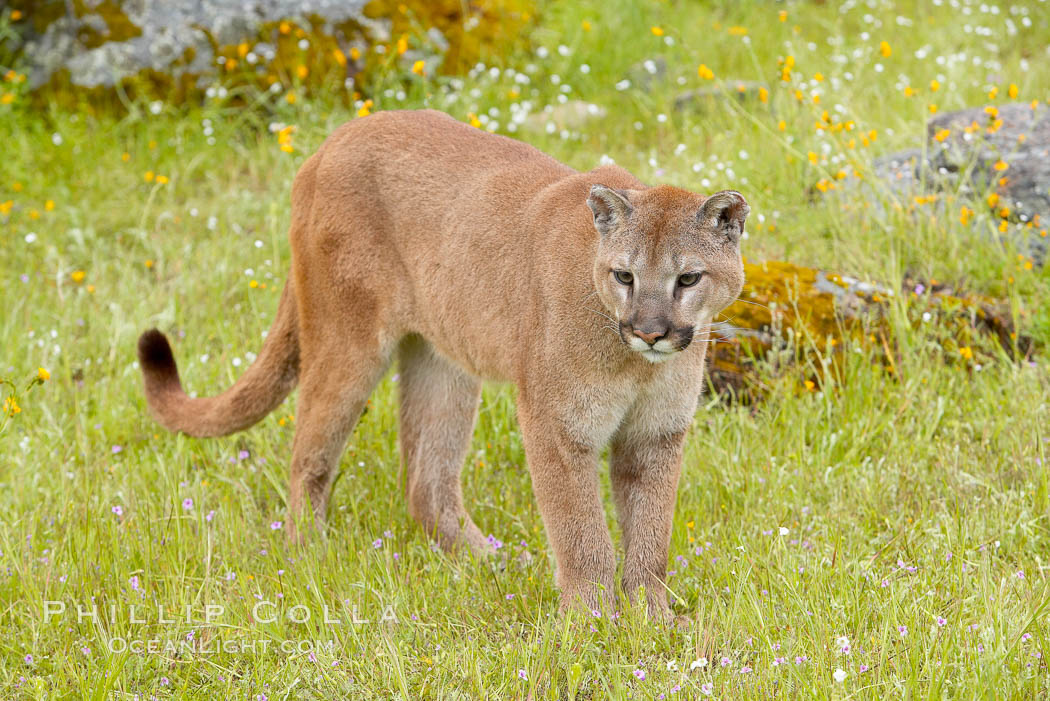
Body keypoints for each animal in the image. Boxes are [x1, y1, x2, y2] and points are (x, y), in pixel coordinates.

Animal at [139, 109, 747, 617]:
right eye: (624, 276)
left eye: (687, 278)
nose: (649, 331)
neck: (636, 365)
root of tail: (330, 142)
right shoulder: (557, 425)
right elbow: (581, 533)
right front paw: (590, 623)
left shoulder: (656, 433)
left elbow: (650, 535)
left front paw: (652, 619)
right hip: (347, 342)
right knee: (307, 455)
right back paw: (309, 555)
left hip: (443, 361)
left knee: (426, 483)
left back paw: (497, 561)